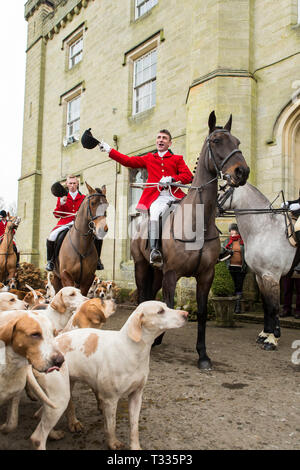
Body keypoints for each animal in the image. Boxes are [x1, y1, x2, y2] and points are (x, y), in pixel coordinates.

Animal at [130, 112, 250, 370]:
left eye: (237, 141)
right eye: (216, 140)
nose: (242, 172)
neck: (198, 222)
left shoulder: (205, 275)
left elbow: (203, 313)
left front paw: (203, 355)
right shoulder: (172, 274)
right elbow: (166, 305)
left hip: (157, 272)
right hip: (142, 266)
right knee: (143, 295)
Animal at [217, 182, 296, 350]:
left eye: (223, 189)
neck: (264, 228)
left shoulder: (271, 276)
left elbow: (274, 307)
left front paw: (272, 339)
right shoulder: (260, 276)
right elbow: (267, 306)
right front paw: (265, 334)